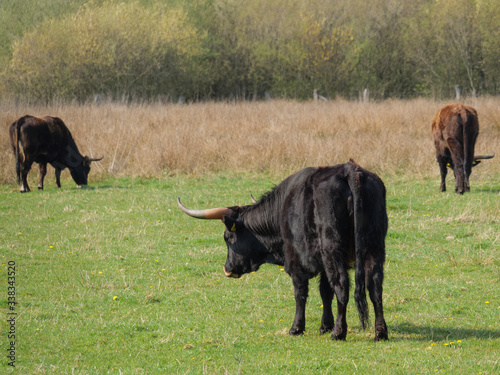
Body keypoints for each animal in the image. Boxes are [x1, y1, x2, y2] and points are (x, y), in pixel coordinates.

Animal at [178, 160, 388, 342]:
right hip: (374, 246)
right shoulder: (321, 264)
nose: (227, 269)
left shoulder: (296, 262)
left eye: (227, 237)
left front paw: (297, 328)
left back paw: (339, 332)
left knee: (342, 284)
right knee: (375, 286)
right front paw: (324, 326)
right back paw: (380, 332)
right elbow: (325, 292)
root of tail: (349, 169)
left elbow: (300, 293)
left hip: (332, 248)